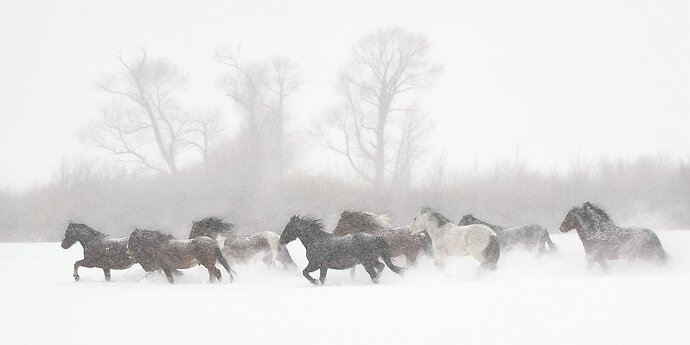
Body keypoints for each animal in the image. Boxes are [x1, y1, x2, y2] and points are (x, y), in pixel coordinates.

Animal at [278, 215, 406, 284]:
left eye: (289, 227)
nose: (280, 240)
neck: (315, 241)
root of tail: (376, 237)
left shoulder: (315, 264)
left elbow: (305, 272)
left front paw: (314, 282)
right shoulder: (323, 267)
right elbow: (322, 279)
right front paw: (317, 282)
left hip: (367, 262)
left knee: (374, 274)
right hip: (372, 261)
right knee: (381, 267)